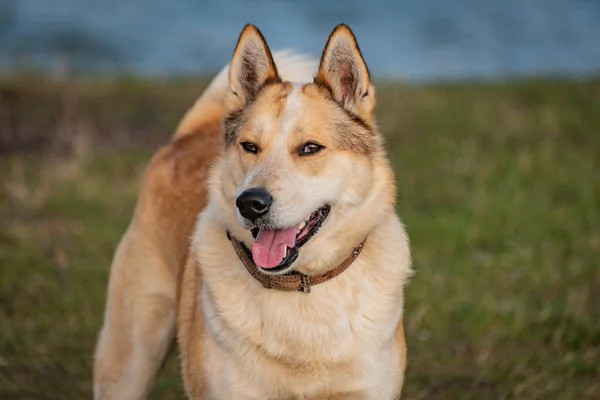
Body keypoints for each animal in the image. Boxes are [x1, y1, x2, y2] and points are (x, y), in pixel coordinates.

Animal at [95, 22, 412, 400]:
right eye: (249, 146)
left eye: (310, 148)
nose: (250, 203)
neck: (301, 288)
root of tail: (187, 137)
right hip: (129, 359)